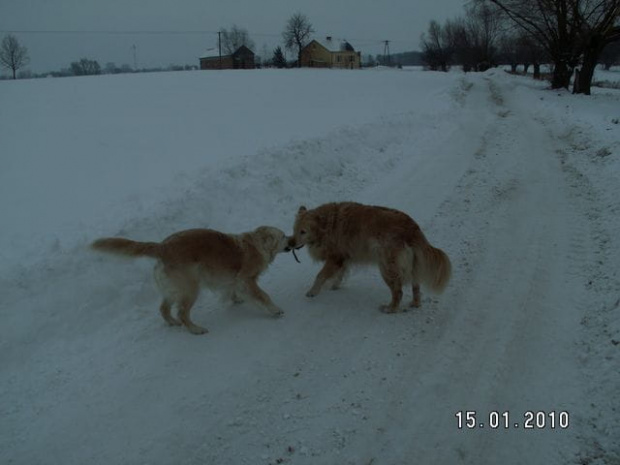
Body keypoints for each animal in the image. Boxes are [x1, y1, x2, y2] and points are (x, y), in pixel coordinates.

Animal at [92, 226, 294, 332]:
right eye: (284, 236)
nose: (293, 241)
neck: (256, 245)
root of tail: (162, 247)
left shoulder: (234, 280)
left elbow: (232, 289)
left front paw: (236, 299)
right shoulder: (247, 279)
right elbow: (263, 296)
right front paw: (275, 310)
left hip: (173, 290)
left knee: (164, 309)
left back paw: (173, 323)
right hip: (190, 289)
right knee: (182, 312)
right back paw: (195, 329)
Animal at [288, 202, 452, 312]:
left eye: (303, 232)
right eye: (294, 229)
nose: (290, 243)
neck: (327, 225)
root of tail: (412, 228)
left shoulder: (335, 257)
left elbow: (320, 275)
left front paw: (313, 291)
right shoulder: (343, 257)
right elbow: (340, 274)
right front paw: (335, 285)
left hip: (386, 267)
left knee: (398, 292)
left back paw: (390, 309)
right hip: (412, 265)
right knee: (416, 286)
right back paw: (415, 303)